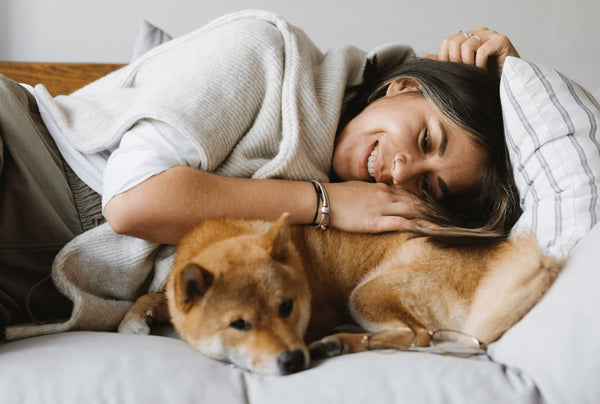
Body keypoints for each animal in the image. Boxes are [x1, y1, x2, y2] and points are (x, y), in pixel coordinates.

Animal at [120, 213, 564, 374]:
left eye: (287, 308)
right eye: (239, 324)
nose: (293, 360)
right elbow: (155, 296)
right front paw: (136, 318)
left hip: (367, 293)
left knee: (417, 337)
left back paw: (338, 341)